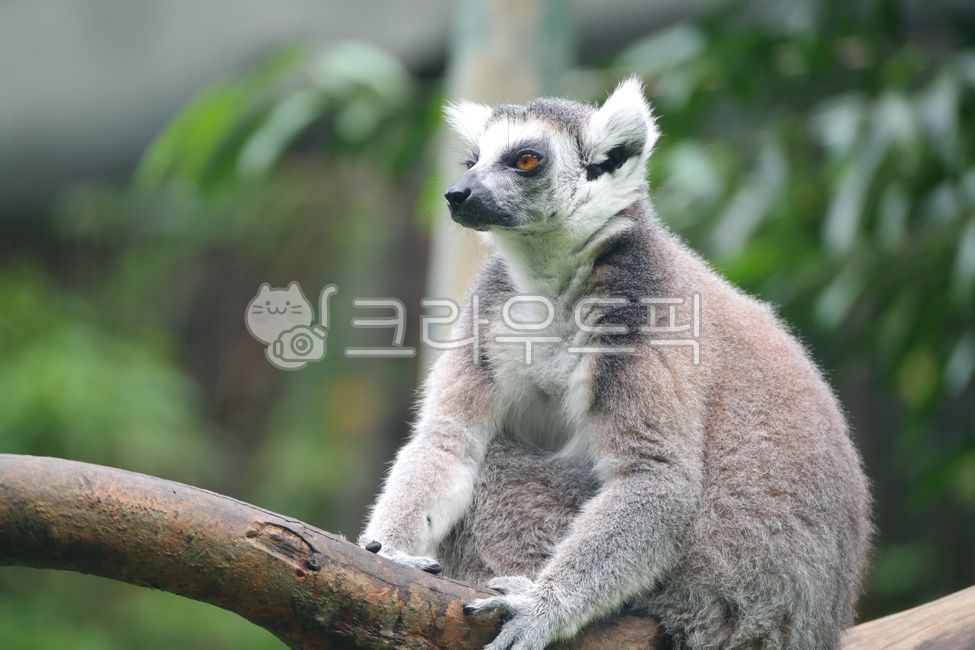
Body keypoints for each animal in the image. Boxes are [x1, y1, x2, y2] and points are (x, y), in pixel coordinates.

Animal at [358, 78, 871, 649]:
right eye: (472, 160)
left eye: (526, 160)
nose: (457, 193)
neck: (553, 283)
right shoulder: (489, 310)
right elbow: (449, 439)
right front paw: (387, 548)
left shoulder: (645, 313)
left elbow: (655, 477)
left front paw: (541, 607)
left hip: (696, 594)